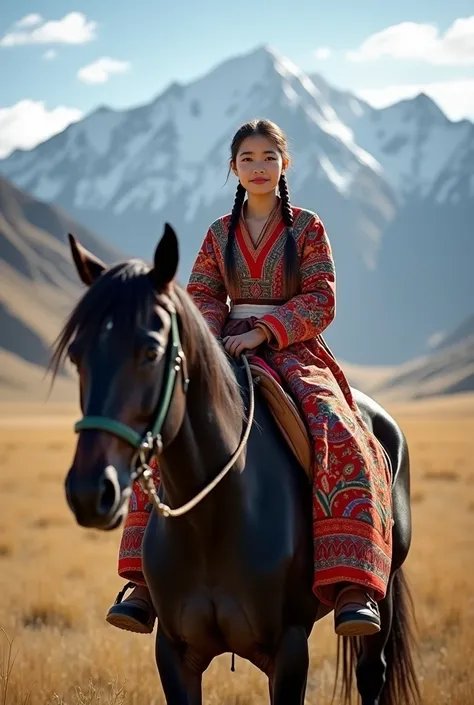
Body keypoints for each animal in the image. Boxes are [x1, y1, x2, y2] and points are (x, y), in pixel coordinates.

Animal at [53, 226, 420, 704]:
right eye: (77, 354)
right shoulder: (174, 652)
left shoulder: (289, 649)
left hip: (385, 588)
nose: (88, 491)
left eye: (151, 351)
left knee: (371, 670)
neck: (215, 517)